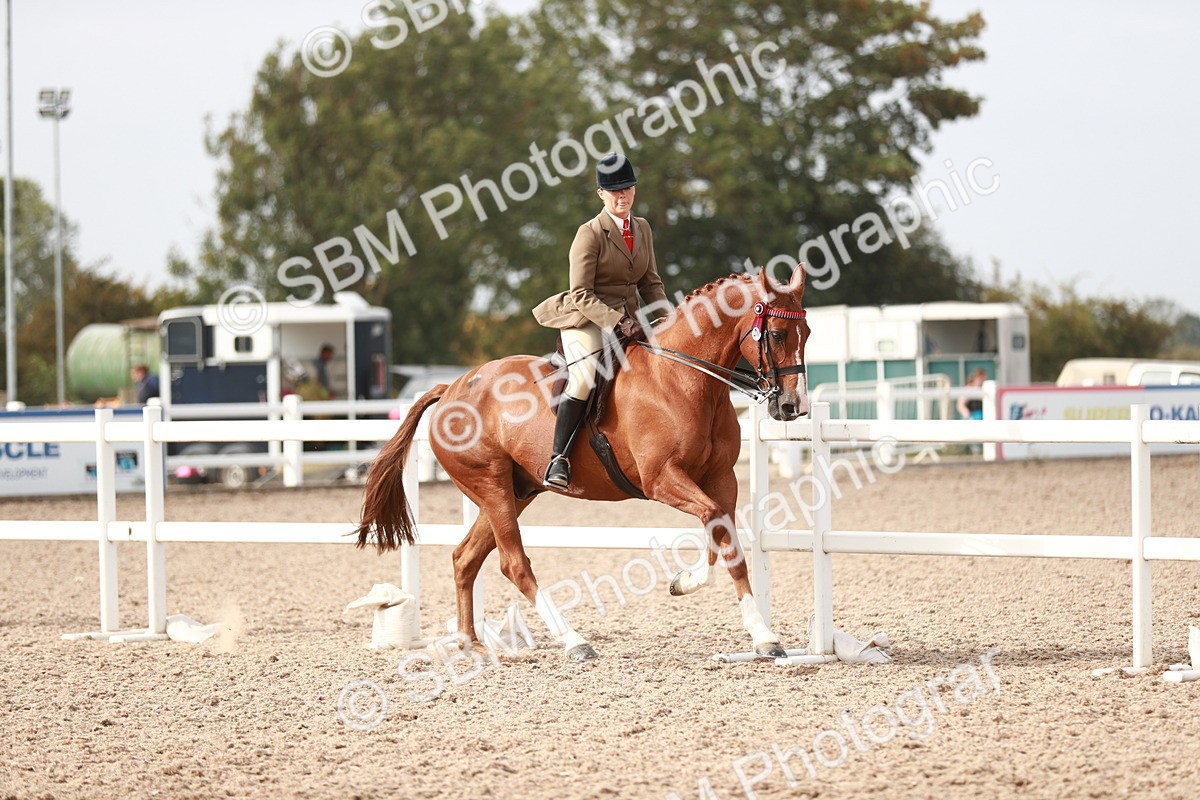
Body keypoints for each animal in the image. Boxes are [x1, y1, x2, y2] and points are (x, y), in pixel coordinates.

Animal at [356, 266, 810, 661]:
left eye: (806, 332)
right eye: (776, 334)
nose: (793, 407)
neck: (682, 379)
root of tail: (451, 387)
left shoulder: (720, 479)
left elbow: (727, 541)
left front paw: (762, 635)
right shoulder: (662, 480)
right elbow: (714, 523)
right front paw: (686, 583)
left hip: (514, 492)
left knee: (465, 559)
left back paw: (473, 647)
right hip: (491, 486)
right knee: (514, 564)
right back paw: (574, 641)